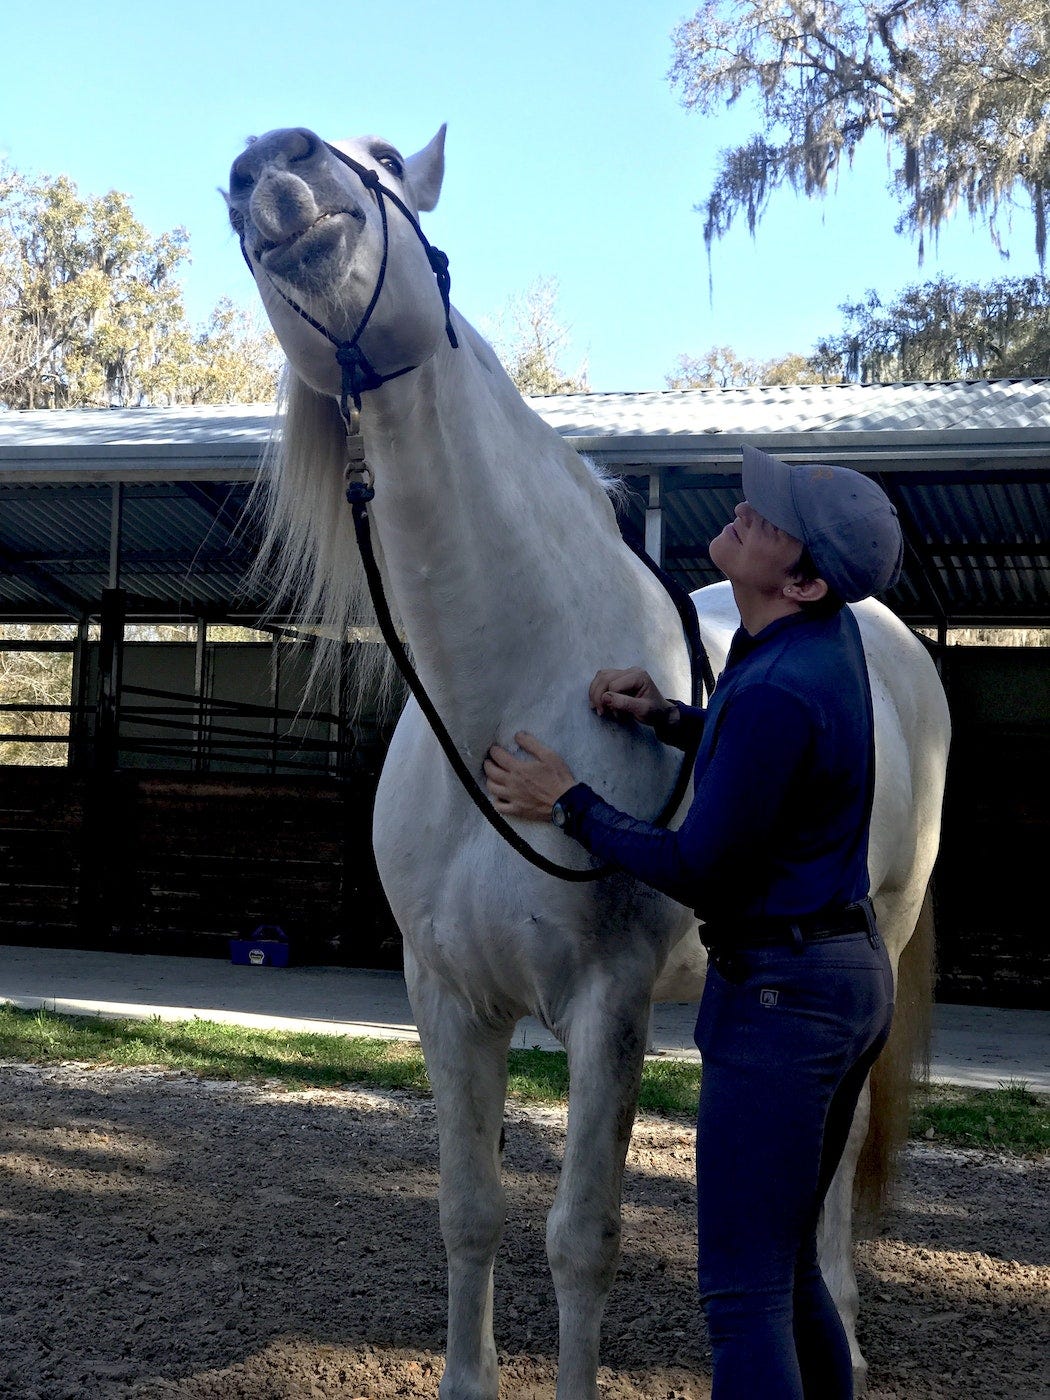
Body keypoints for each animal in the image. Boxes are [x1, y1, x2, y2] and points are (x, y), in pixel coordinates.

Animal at [226, 123, 950, 1399]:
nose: (272, 162)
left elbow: (582, 1237)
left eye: (383, 163)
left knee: (837, 1159)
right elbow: (470, 1211)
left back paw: (849, 1333)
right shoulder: (447, 996)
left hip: (886, 923)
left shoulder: (605, 1003)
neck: (508, 684)